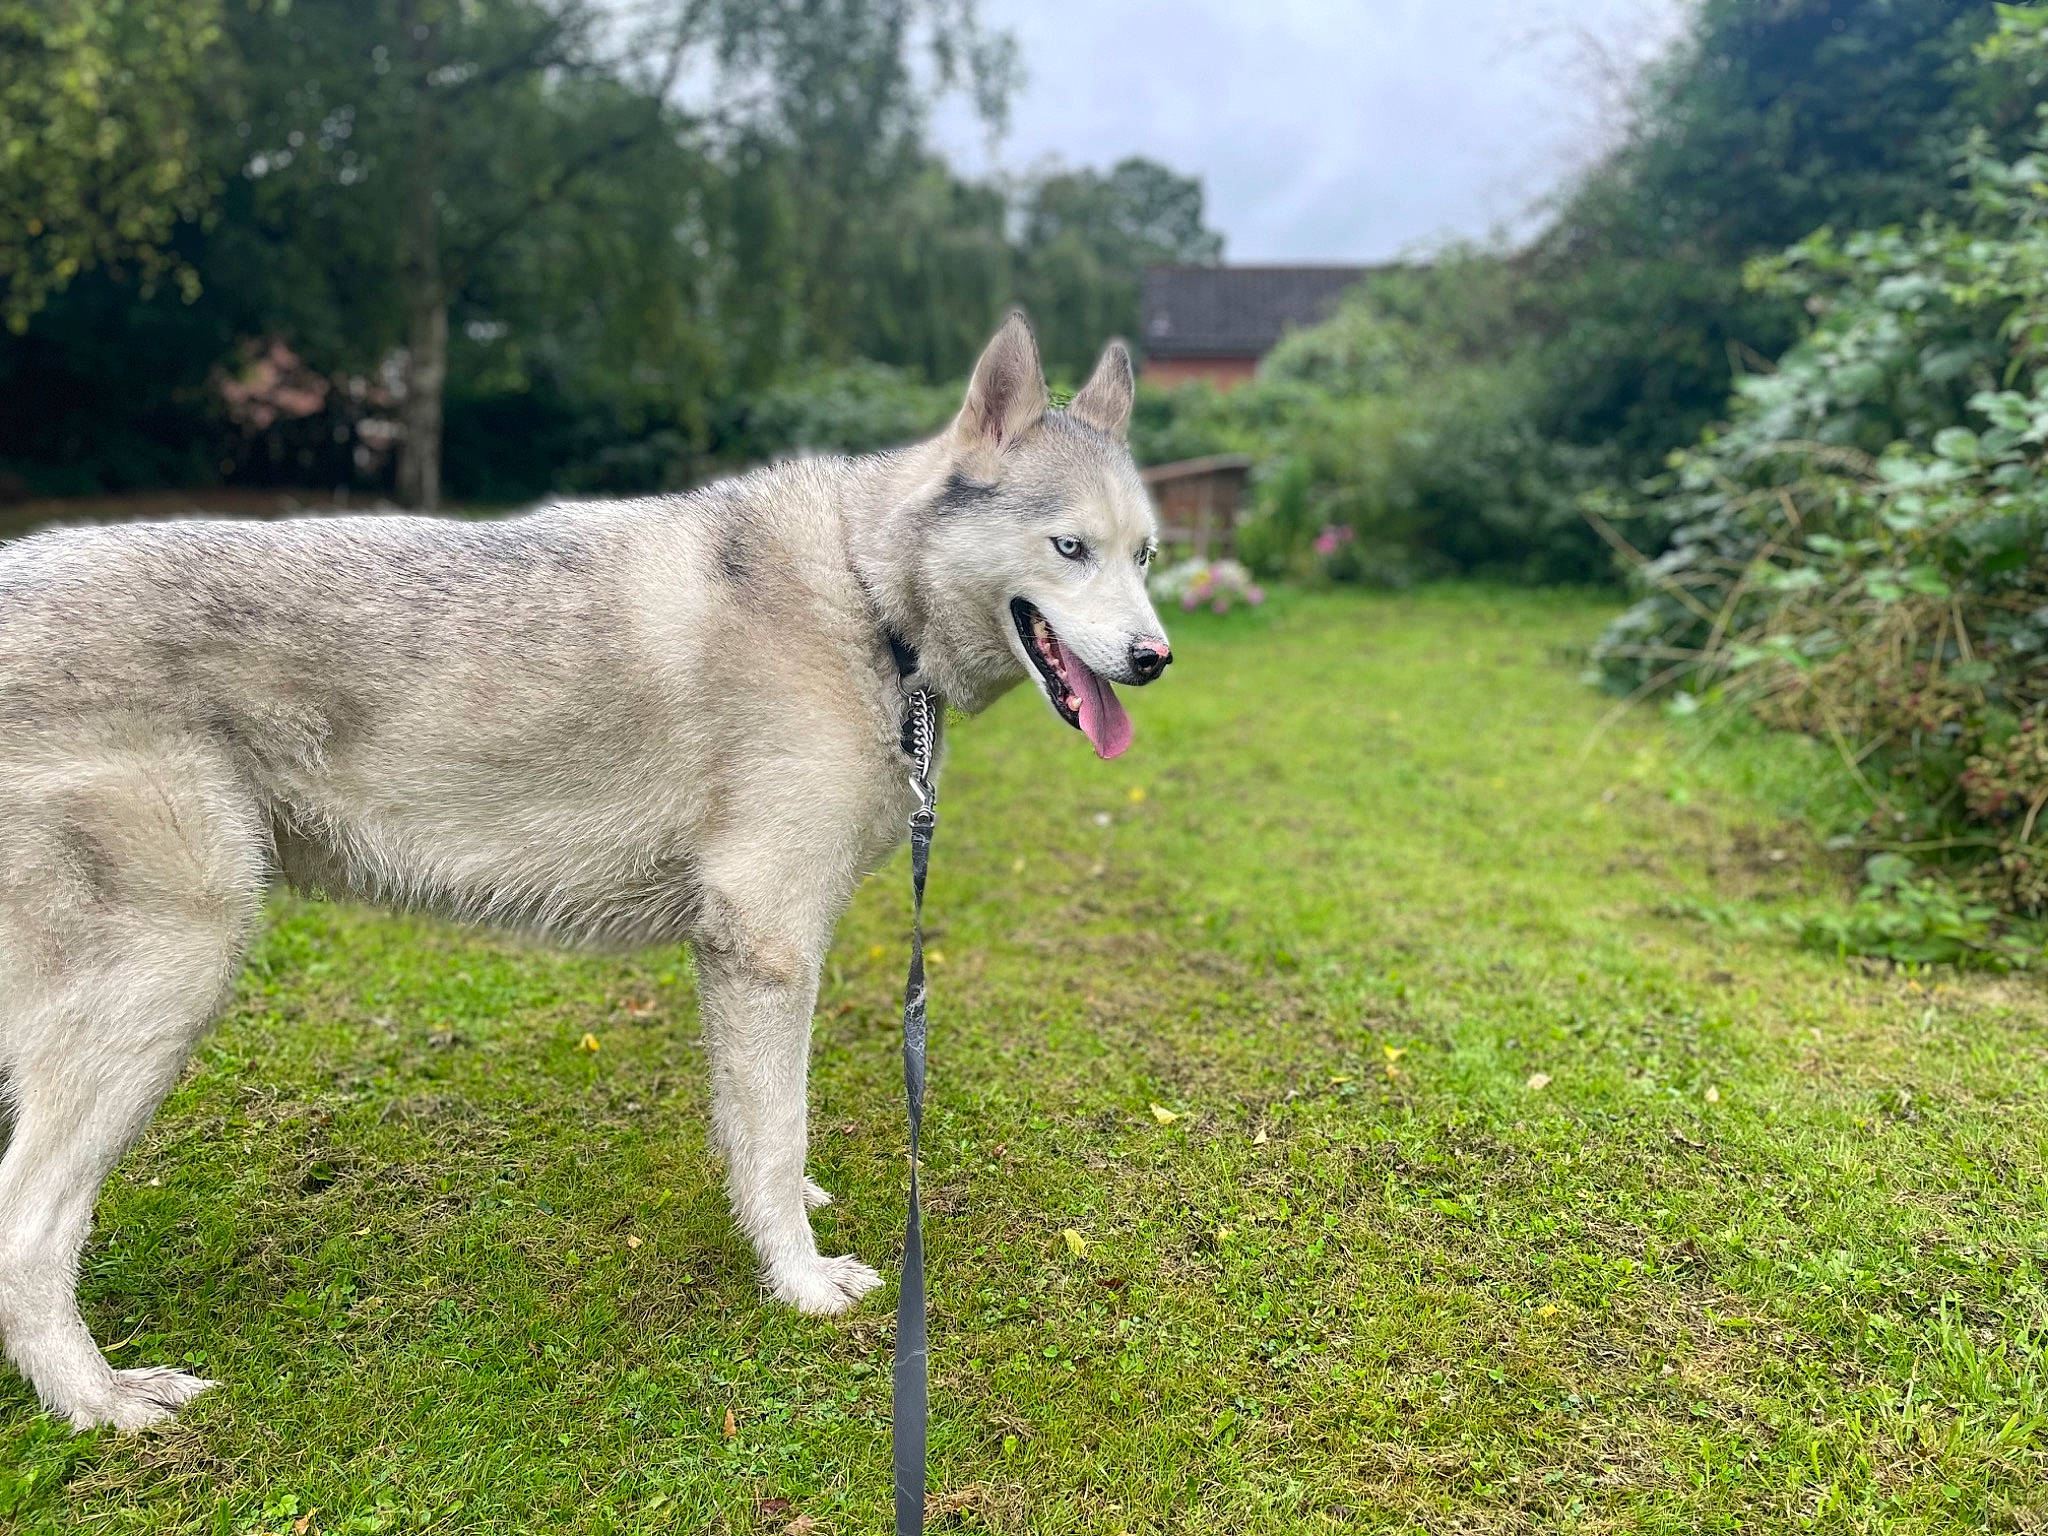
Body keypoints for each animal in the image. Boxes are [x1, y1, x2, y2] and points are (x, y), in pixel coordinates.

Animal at [0, 314, 1172, 1430]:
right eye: (1070, 547)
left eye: (1146, 557)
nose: (1155, 659)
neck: (863, 594)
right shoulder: (766, 946)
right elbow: (774, 1132)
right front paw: (797, 1282)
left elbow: (755, 1137)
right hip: (165, 984)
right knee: (29, 1230)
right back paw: (98, 1402)